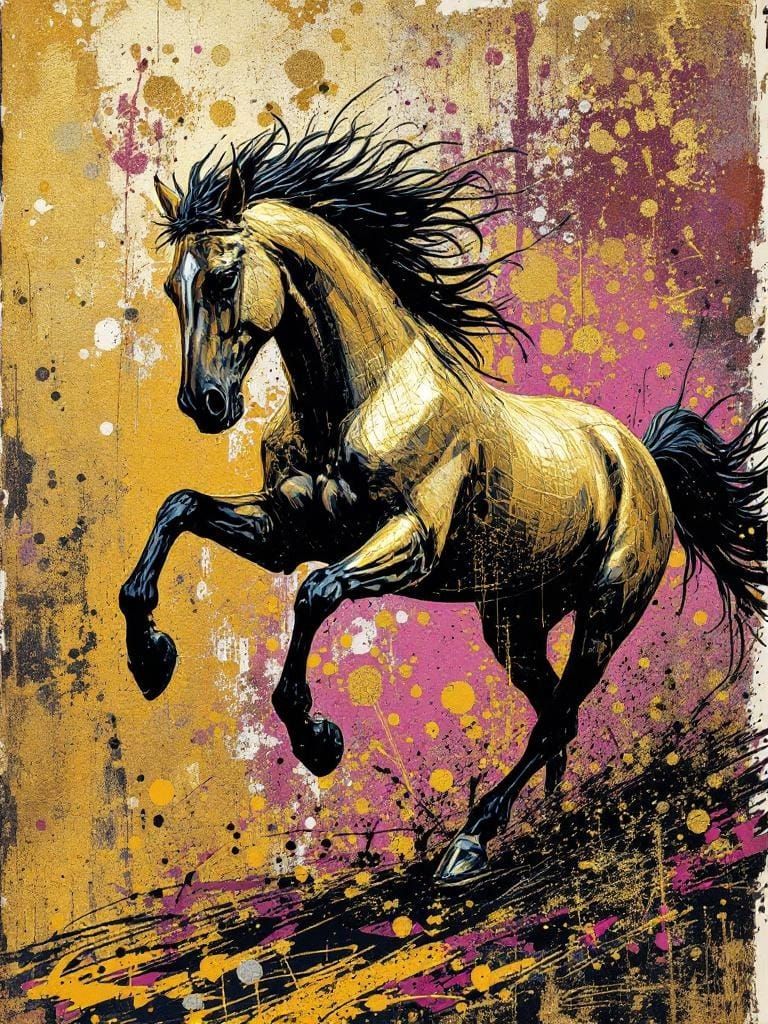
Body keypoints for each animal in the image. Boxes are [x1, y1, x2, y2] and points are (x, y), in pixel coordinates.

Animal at [119, 104, 767, 885]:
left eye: (221, 277)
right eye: (168, 288)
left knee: (557, 716)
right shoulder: (284, 531)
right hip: (513, 622)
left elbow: (316, 594)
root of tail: (641, 457)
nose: (204, 403)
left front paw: (317, 739)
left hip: (605, 614)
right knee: (556, 717)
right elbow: (179, 508)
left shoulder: (411, 541)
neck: (357, 399)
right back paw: (551, 823)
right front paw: (151, 659)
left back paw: (472, 841)